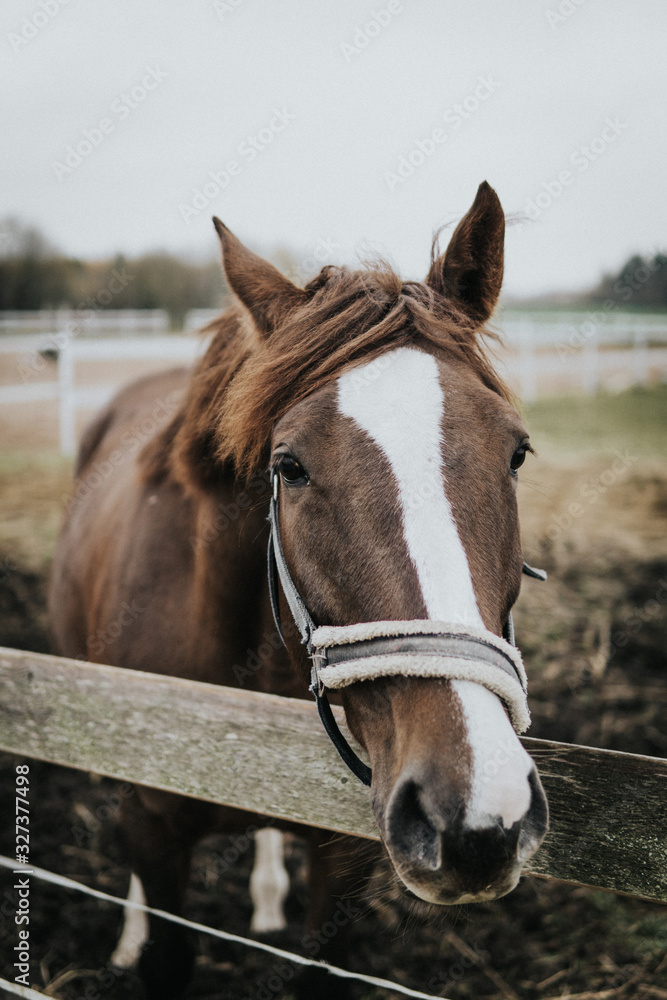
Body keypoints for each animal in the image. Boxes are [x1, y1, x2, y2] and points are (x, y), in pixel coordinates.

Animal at [48, 181, 548, 999]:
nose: (477, 815)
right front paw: (138, 943)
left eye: (517, 453)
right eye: (288, 466)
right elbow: (164, 948)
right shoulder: (149, 820)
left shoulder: (340, 855)